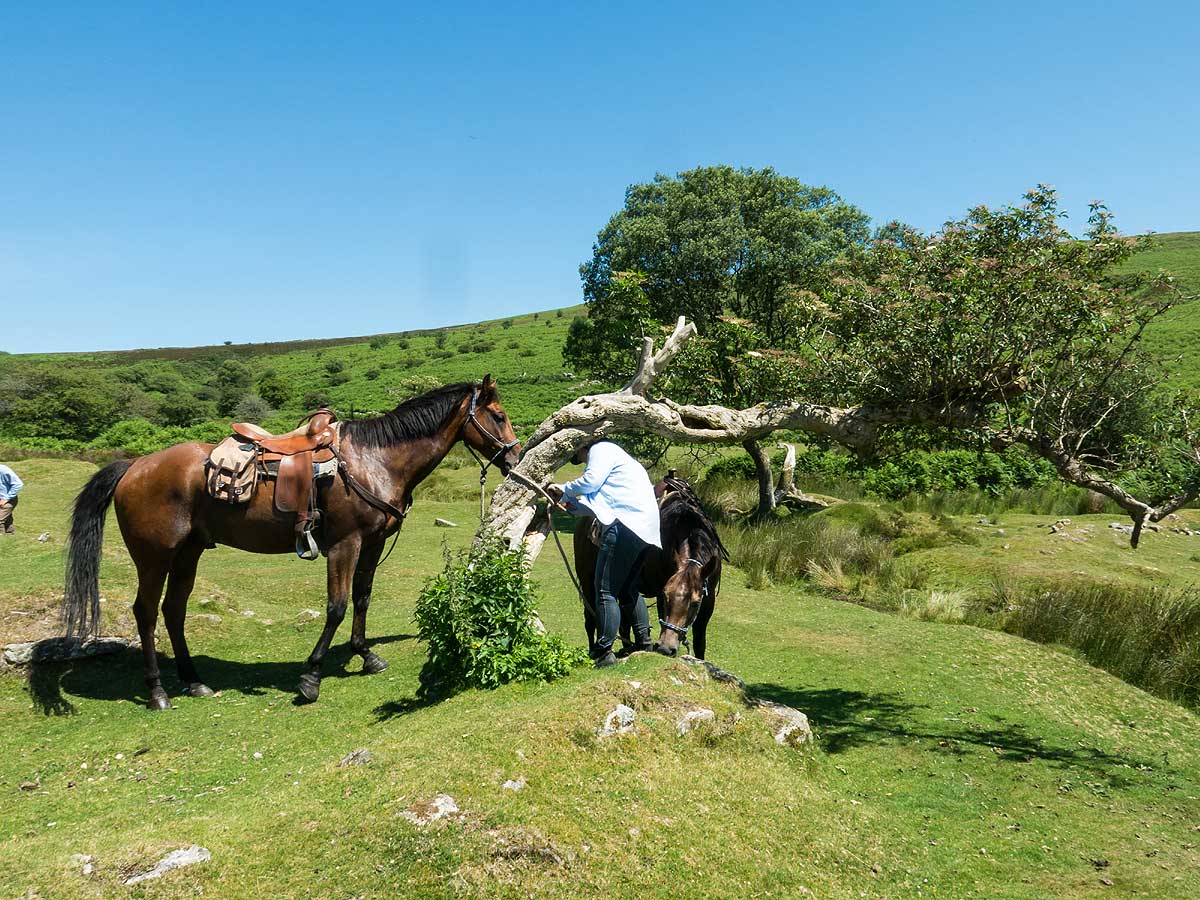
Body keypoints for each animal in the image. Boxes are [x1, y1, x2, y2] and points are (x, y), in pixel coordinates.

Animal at [62, 376, 521, 710]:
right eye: (498, 415)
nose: (515, 458)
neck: (374, 461)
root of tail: (134, 465)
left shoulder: (371, 545)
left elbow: (362, 599)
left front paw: (366, 655)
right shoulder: (344, 545)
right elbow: (337, 606)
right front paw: (311, 677)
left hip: (188, 552)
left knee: (174, 610)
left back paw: (193, 682)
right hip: (154, 557)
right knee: (145, 612)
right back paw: (158, 692)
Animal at [572, 474, 728, 659]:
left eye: (695, 603)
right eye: (666, 597)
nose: (666, 648)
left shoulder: (708, 599)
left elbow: (700, 642)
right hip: (588, 580)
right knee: (591, 619)